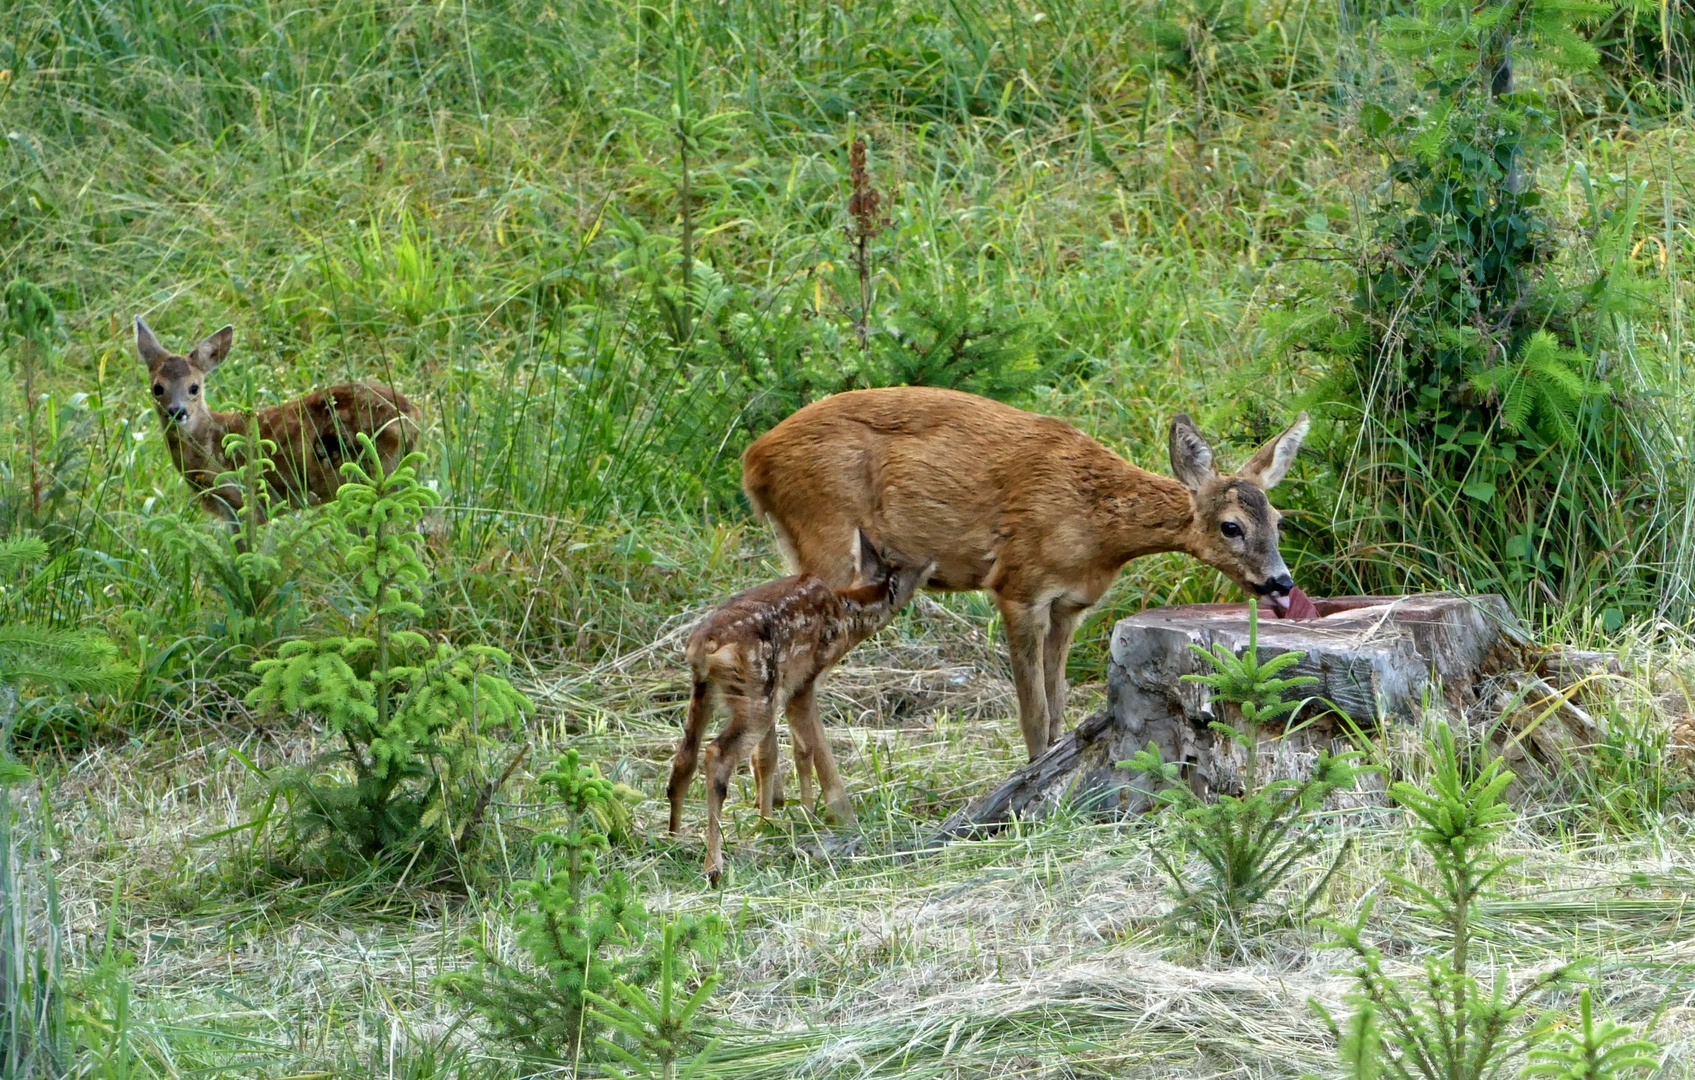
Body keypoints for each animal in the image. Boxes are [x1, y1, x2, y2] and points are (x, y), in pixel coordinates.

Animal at [135, 315, 420, 525]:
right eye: (157, 388)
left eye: (194, 387)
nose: (177, 411)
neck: (211, 443)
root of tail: (413, 415)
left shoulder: (243, 504)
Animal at [667, 525, 935, 881]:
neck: (846, 612)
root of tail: (704, 646)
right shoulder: (804, 681)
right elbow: (811, 747)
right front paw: (832, 816)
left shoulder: (786, 687)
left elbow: (779, 753)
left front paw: (778, 815)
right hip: (757, 691)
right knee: (717, 754)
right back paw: (714, 866)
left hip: (709, 691)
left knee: (686, 754)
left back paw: (672, 839)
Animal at [742, 383, 1308, 762]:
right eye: (1231, 527)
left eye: (1279, 521)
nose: (1281, 583)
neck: (1097, 528)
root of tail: (753, 461)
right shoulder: (1019, 587)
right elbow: (1033, 711)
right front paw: (1033, 773)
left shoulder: (1070, 605)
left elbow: (1057, 705)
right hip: (828, 537)